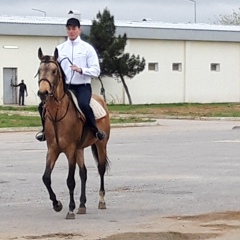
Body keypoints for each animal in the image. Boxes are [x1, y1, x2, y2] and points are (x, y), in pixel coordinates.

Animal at [35, 47, 110, 219]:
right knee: (84, 173)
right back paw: (82, 205)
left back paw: (101, 201)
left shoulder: (70, 150)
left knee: (101, 169)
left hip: (100, 144)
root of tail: (101, 100)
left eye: (54, 71)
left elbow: (70, 180)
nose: (43, 93)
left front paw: (69, 209)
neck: (58, 114)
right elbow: (46, 178)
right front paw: (57, 204)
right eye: (39, 70)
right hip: (80, 149)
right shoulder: (52, 150)